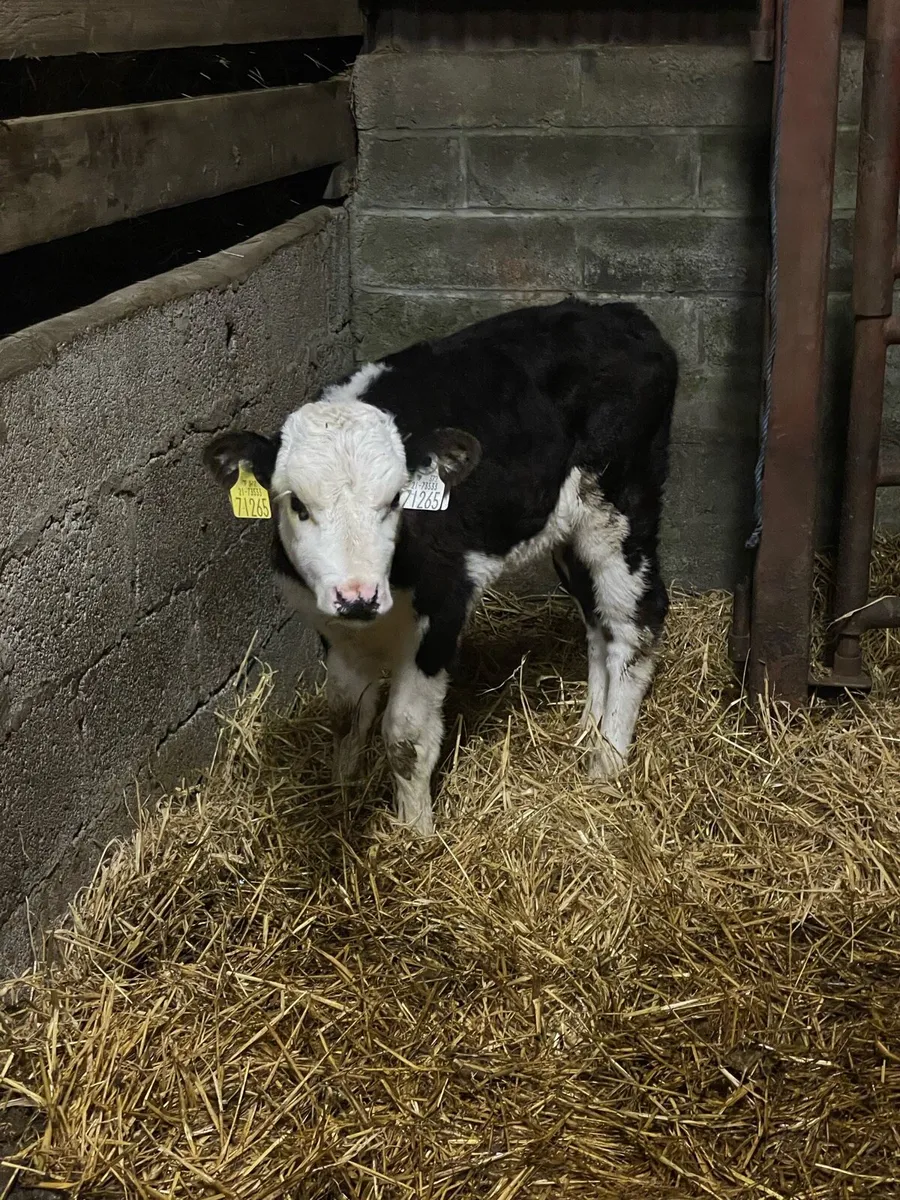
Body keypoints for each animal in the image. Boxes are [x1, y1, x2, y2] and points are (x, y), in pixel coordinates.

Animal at [204, 299, 678, 836]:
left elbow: (405, 736)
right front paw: (340, 796)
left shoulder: (444, 605)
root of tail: (621, 312)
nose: (358, 596)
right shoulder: (329, 622)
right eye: (297, 504)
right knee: (597, 621)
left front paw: (415, 832)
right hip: (568, 527)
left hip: (621, 505)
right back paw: (587, 728)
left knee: (635, 624)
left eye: (395, 499)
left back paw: (607, 762)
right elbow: (347, 713)